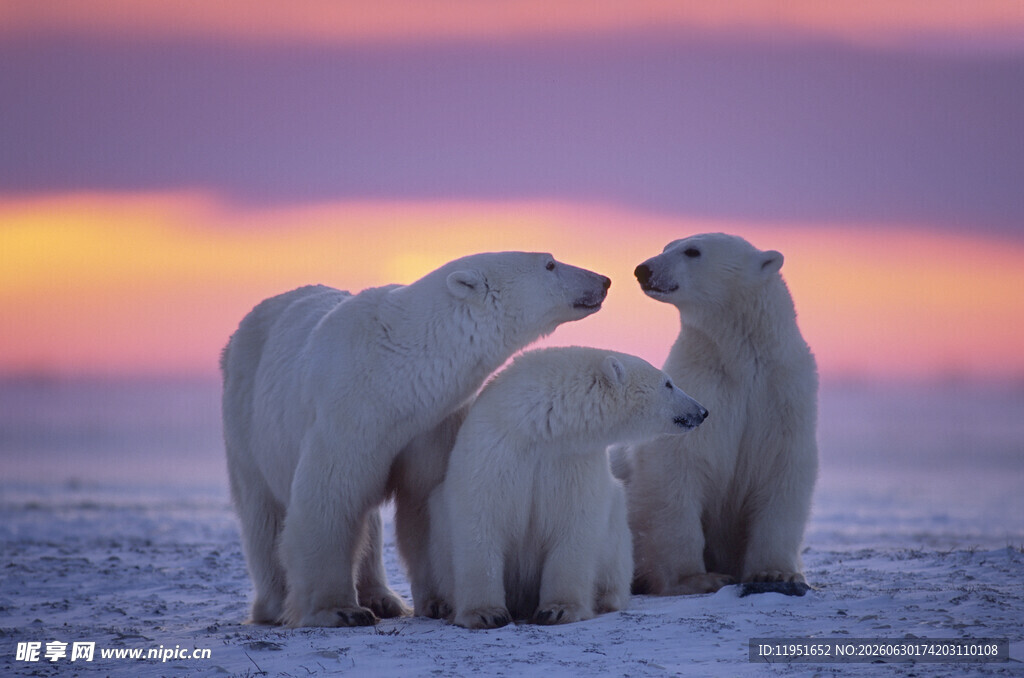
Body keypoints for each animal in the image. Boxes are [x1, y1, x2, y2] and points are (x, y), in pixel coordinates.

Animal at [220, 252, 611, 627]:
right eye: (550, 263)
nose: (604, 280)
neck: (396, 373)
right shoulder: (347, 413)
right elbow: (330, 498)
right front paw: (340, 611)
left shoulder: (431, 424)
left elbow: (425, 501)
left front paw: (439, 602)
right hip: (246, 418)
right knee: (263, 513)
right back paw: (275, 605)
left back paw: (383, 598)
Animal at [426, 346, 709, 629]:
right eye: (668, 383)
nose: (702, 411)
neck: (540, 428)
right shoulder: (495, 451)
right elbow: (480, 521)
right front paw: (486, 613)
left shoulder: (573, 461)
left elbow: (574, 525)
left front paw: (558, 610)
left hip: (616, 531)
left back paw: (605, 598)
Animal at [622, 232, 818, 596]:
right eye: (667, 245)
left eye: (692, 251)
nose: (643, 269)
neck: (740, 360)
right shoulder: (701, 388)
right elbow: (677, 468)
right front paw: (697, 578)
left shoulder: (782, 395)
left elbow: (783, 470)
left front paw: (775, 573)